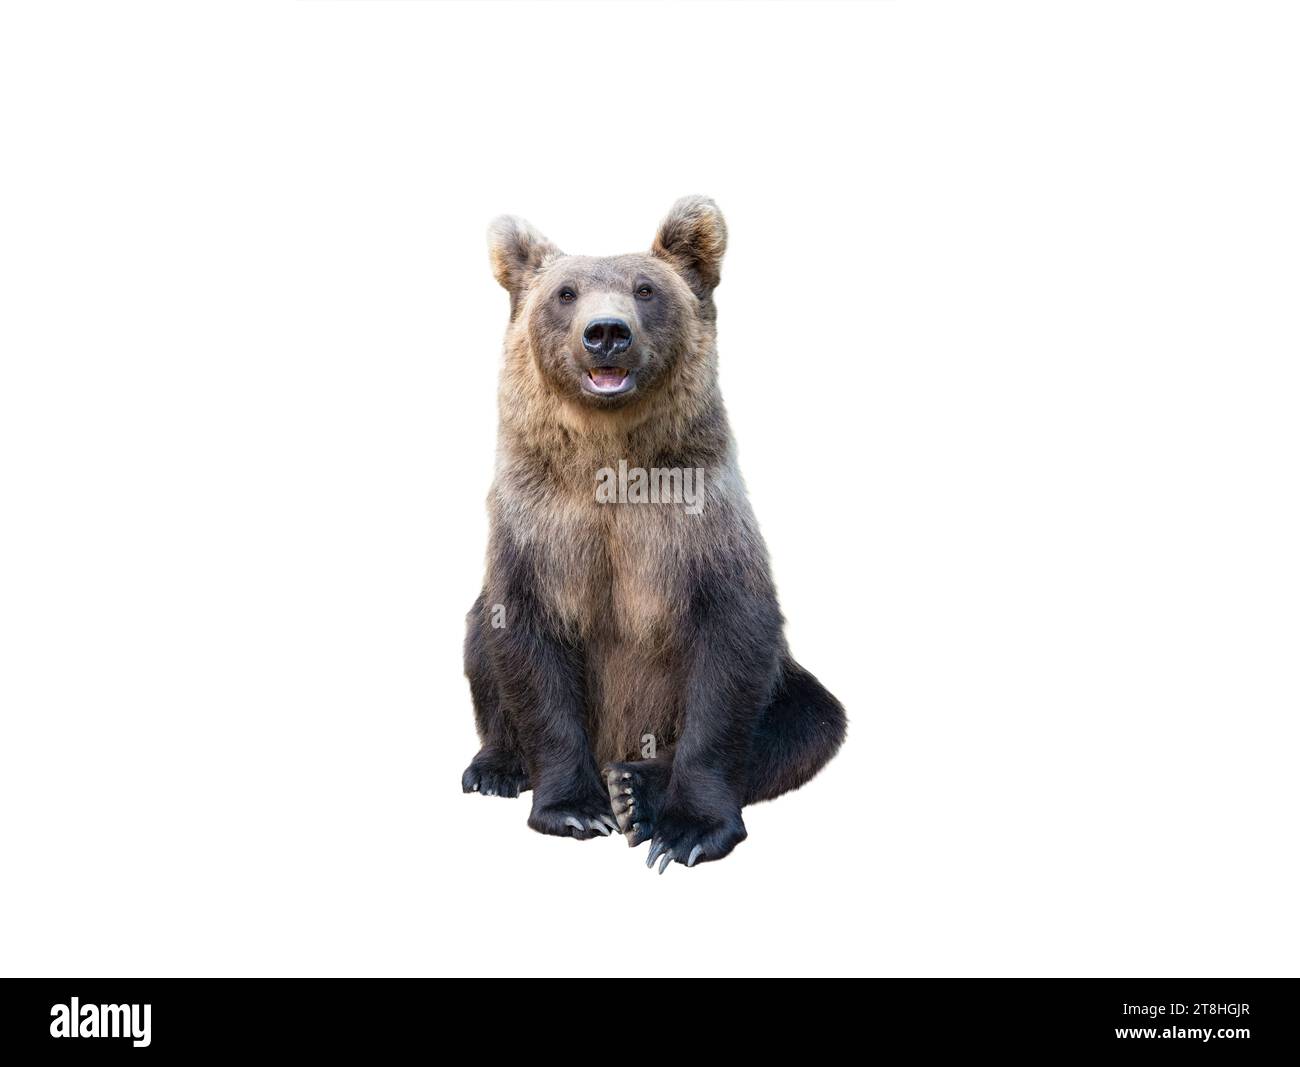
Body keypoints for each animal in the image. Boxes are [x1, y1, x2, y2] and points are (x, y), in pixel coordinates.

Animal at [462, 197, 846, 871]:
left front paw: (686, 828)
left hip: (791, 684)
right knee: (479, 641)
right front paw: (573, 807)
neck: (611, 462)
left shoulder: (698, 528)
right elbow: (526, 646)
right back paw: (497, 767)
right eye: (564, 293)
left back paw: (634, 785)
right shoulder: (537, 531)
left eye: (646, 289)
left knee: (809, 723)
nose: (606, 331)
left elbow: (732, 652)